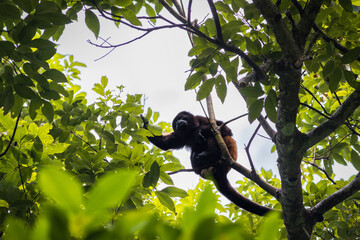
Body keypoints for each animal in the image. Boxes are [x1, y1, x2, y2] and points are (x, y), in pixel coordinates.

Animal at [142, 111, 272, 217]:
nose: (179, 122)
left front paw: (198, 132)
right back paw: (199, 163)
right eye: (176, 122)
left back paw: (212, 154)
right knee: (194, 152)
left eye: (182, 118)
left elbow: (225, 129)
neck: (189, 131)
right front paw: (145, 125)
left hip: (228, 151)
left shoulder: (202, 119)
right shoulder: (179, 136)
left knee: (219, 137)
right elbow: (165, 144)